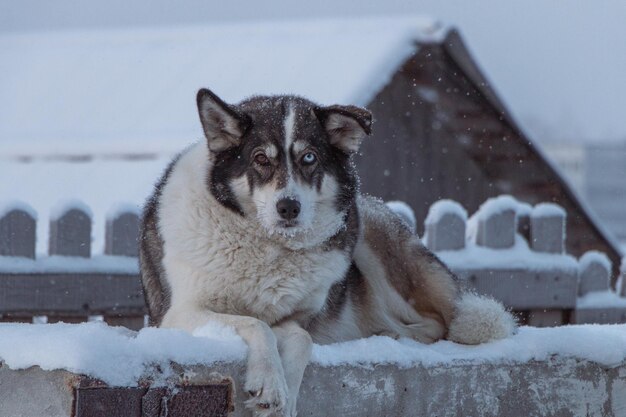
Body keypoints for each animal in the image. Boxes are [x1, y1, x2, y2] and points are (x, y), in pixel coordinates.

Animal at [139, 88, 516, 416]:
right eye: (260, 159)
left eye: (309, 158)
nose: (288, 207)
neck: (268, 245)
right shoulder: (178, 314)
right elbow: (256, 324)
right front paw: (271, 384)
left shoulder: (297, 318)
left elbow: (301, 338)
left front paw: (283, 398)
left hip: (368, 238)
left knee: (438, 322)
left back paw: (389, 333)